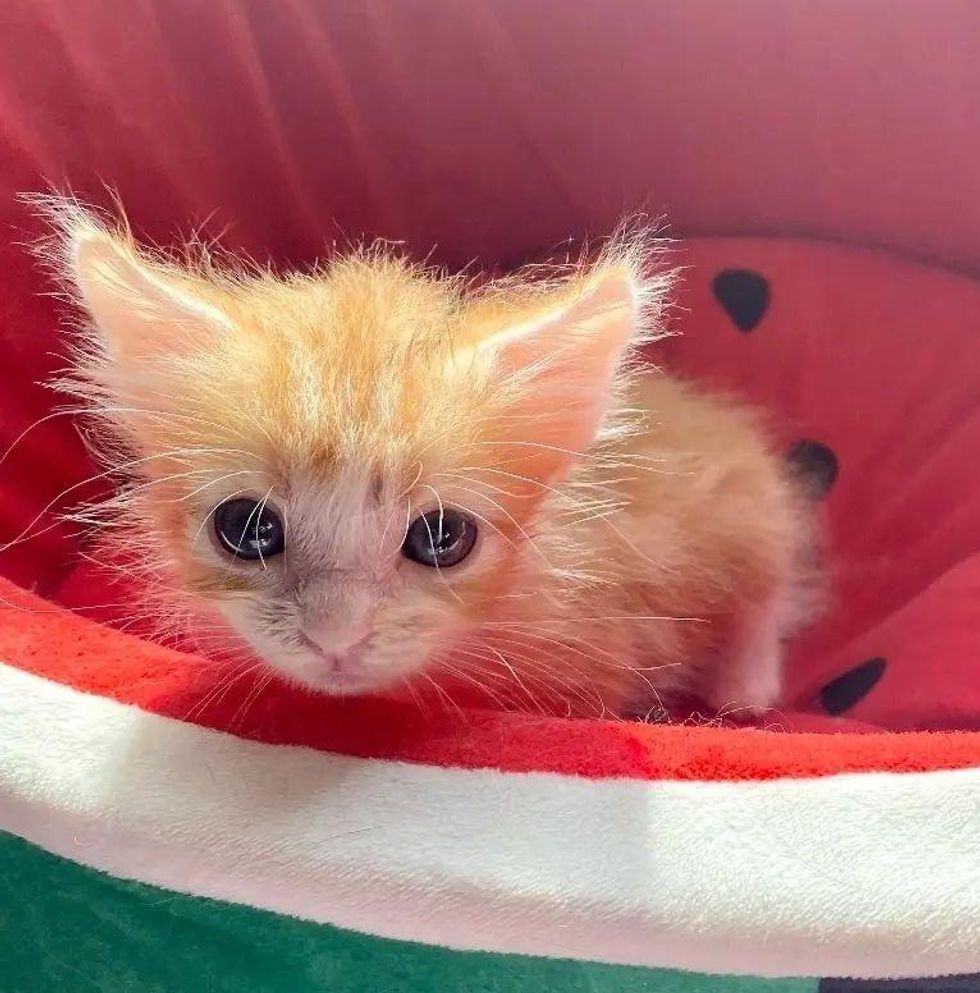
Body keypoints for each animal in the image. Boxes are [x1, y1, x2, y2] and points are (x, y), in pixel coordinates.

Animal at [40, 198, 820, 716]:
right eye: (246, 528)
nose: (335, 640)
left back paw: (747, 686)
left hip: (745, 498)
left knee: (772, 572)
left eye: (442, 538)